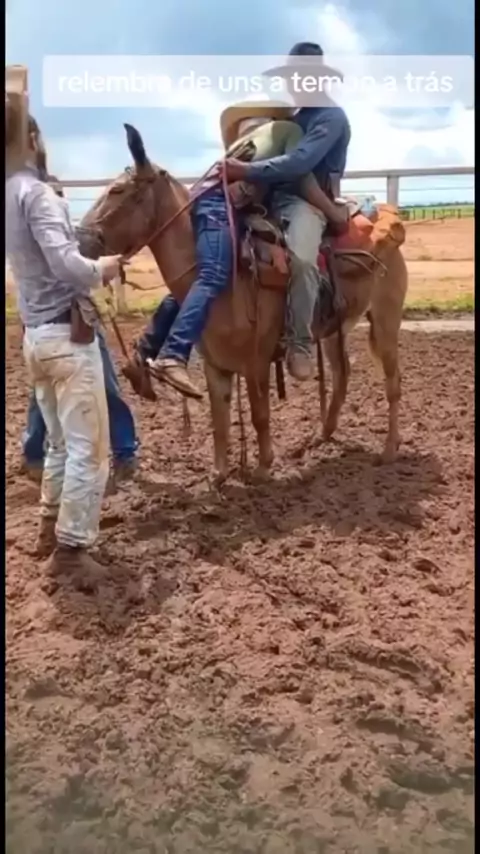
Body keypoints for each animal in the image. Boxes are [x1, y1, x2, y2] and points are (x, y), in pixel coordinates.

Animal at [79, 123, 408, 479]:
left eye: (117, 190)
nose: (80, 238)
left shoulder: (257, 361)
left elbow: (259, 414)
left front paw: (263, 468)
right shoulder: (215, 365)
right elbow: (220, 422)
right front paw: (219, 475)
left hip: (386, 322)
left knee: (393, 384)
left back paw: (389, 451)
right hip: (336, 329)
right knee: (341, 376)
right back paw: (319, 438)